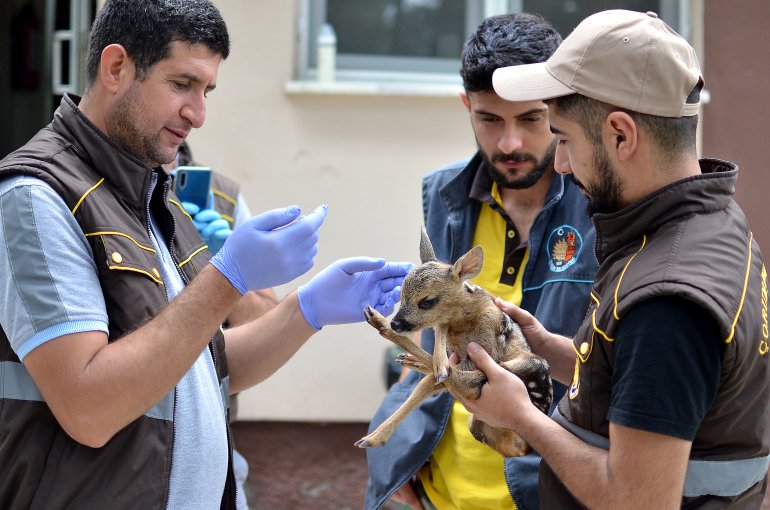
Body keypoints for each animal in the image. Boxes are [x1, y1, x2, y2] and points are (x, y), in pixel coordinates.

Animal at [356, 228, 548, 458]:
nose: (396, 323)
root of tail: (524, 447)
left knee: (460, 383)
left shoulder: (488, 346)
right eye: (401, 295)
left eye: (427, 301)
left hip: (522, 367)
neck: (464, 323)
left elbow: (438, 376)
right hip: (477, 420)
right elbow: (440, 339)